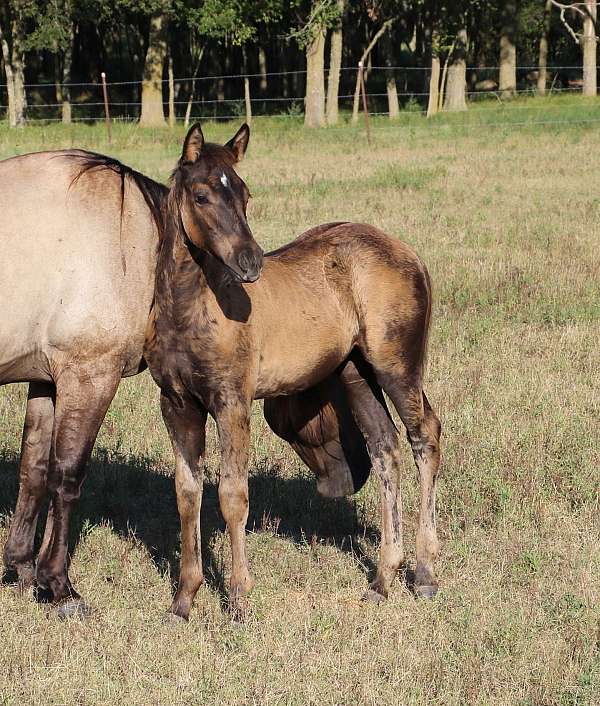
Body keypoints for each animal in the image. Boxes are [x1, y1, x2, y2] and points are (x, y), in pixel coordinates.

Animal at [0, 144, 373, 618]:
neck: (131, 237)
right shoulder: (88, 375)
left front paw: (23, 569)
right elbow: (66, 477)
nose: (358, 472)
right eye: (331, 392)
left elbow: (33, 471)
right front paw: (60, 586)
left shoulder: (47, 378)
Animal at [144, 122, 442, 621]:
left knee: (426, 438)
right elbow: (187, 495)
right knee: (386, 449)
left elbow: (232, 496)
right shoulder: (178, 405)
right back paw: (383, 579)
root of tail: (409, 253)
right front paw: (183, 601)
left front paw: (239, 600)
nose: (250, 262)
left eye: (245, 194)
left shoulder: (232, 403)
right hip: (355, 374)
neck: (191, 308)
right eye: (202, 196)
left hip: (396, 366)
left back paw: (424, 573)